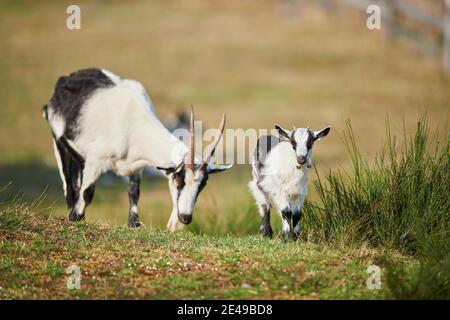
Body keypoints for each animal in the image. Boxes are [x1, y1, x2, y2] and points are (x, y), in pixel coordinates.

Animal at [43, 68, 230, 230]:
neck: (133, 121)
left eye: (202, 184)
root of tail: (65, 80)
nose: (185, 217)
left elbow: (134, 194)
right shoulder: (96, 161)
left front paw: (134, 223)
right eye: (178, 180)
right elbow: (87, 192)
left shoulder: (136, 167)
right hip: (58, 141)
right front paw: (75, 217)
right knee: (68, 182)